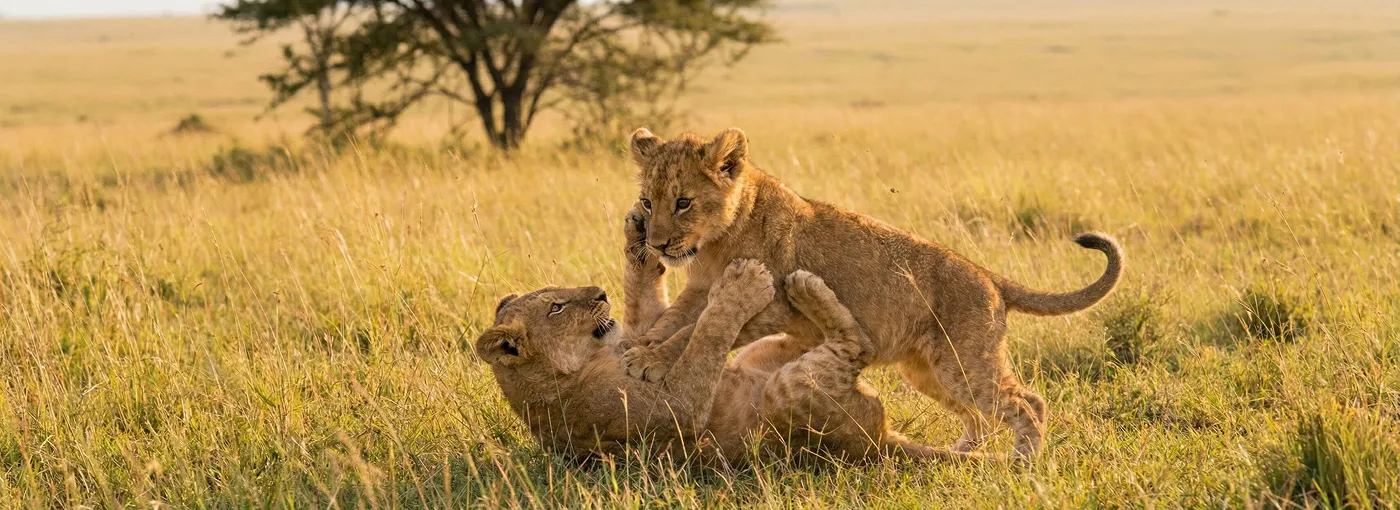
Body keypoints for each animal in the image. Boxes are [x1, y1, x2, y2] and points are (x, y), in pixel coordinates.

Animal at [473, 211, 981, 464]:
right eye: (556, 309)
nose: (599, 293)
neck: (584, 364)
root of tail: (876, 443)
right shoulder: (669, 413)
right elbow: (706, 334)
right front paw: (741, 284)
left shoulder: (635, 336)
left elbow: (647, 302)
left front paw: (637, 237)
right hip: (786, 398)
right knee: (855, 346)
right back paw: (800, 286)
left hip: (765, 356)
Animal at [620, 127, 1125, 461]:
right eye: (648, 201)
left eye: (683, 202)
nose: (657, 244)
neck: (716, 241)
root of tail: (990, 278)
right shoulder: (698, 289)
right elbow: (673, 322)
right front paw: (639, 345)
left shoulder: (771, 305)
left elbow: (691, 333)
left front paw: (649, 359)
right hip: (928, 371)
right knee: (980, 417)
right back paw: (961, 453)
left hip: (965, 364)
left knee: (1027, 404)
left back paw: (1024, 465)